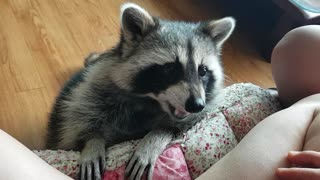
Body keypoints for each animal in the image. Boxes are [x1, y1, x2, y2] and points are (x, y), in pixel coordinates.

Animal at [47, 2, 235, 180]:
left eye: (202, 71)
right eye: (170, 69)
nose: (196, 105)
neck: (149, 102)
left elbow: (175, 127)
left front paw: (154, 138)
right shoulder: (93, 92)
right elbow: (78, 126)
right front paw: (92, 141)